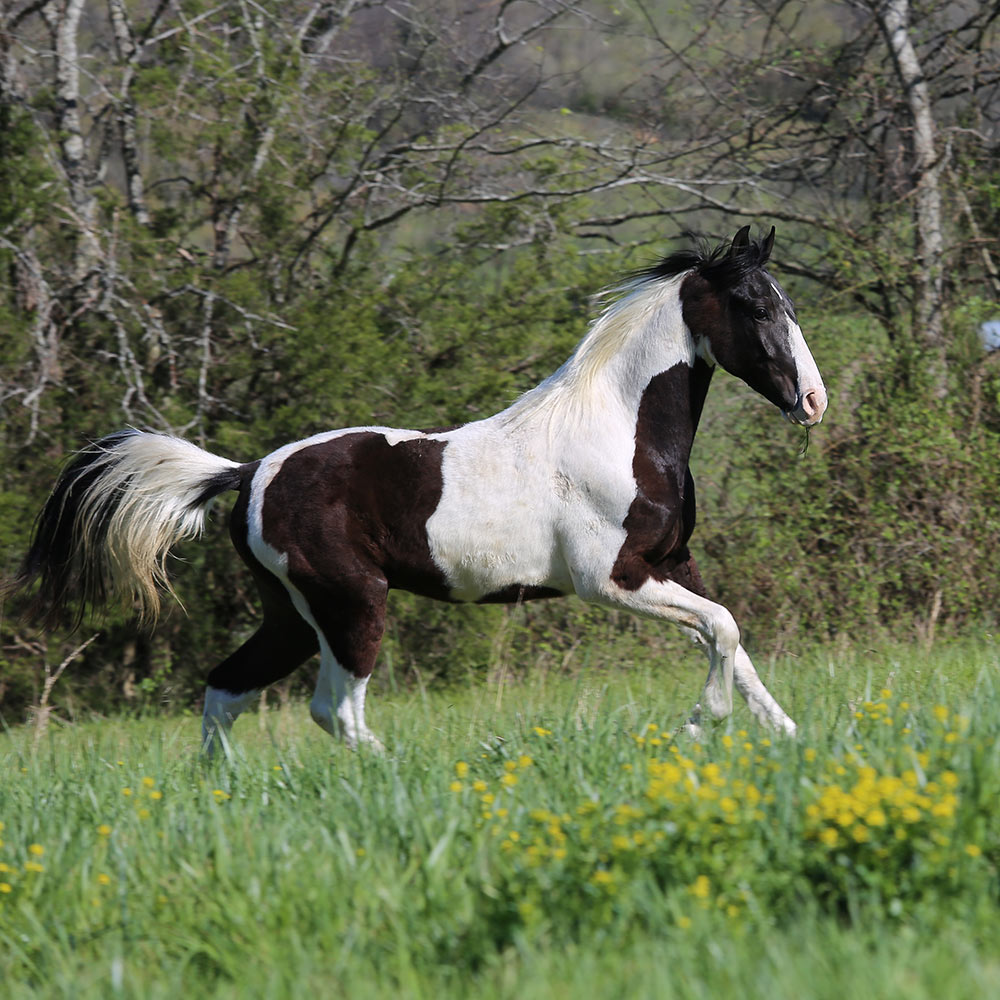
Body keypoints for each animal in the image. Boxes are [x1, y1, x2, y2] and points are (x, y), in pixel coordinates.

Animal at [9, 223, 828, 748]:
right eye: (756, 305)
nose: (813, 401)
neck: (618, 433)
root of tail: (248, 475)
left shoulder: (673, 564)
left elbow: (731, 637)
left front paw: (790, 736)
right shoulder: (613, 580)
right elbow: (722, 629)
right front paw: (698, 726)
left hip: (293, 615)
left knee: (225, 690)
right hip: (353, 604)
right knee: (335, 714)